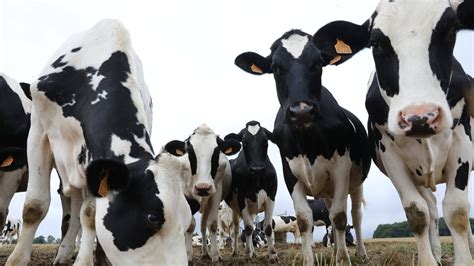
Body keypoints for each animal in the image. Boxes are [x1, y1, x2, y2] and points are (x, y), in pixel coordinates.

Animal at [5, 19, 191, 266]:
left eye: (187, 221)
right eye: (152, 217)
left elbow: (90, 214)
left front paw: (84, 261)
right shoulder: (38, 130)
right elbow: (35, 205)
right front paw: (17, 260)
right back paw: (63, 254)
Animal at [166, 124, 241, 262]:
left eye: (216, 153)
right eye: (190, 153)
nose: (203, 187)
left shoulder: (216, 193)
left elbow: (212, 225)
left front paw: (216, 255)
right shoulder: (185, 193)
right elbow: (190, 225)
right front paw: (188, 255)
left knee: (204, 226)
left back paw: (210, 253)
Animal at [225, 121, 280, 262]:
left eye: (265, 142)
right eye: (244, 143)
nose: (257, 168)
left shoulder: (271, 196)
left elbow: (267, 227)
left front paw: (273, 255)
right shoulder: (241, 198)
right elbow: (249, 228)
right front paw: (247, 254)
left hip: (253, 208)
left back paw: (254, 253)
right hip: (234, 209)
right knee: (236, 230)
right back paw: (236, 252)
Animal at [235, 28, 372, 264]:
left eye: (318, 63)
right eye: (275, 68)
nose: (301, 111)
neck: (308, 143)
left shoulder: (341, 170)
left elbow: (340, 217)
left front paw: (344, 260)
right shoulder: (291, 174)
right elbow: (304, 220)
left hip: (355, 183)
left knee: (354, 215)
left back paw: (361, 253)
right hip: (326, 190)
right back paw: (335, 251)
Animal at [312, 1, 474, 264]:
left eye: (451, 30)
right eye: (376, 43)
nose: (420, 117)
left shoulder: (462, 140)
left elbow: (457, 211)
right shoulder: (389, 152)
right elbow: (417, 212)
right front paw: (429, 259)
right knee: (430, 207)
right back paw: (437, 252)